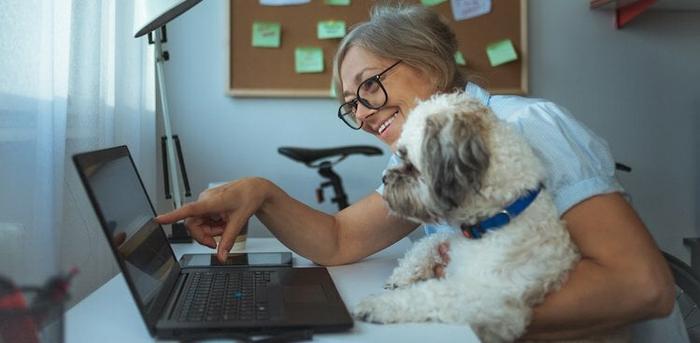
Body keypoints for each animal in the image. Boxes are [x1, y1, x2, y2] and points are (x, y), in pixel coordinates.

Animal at [352, 92, 628, 342]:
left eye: (408, 161)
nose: (384, 178)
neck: (497, 220)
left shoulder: (487, 298)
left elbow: (429, 294)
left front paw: (378, 304)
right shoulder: (453, 241)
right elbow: (427, 243)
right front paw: (403, 274)